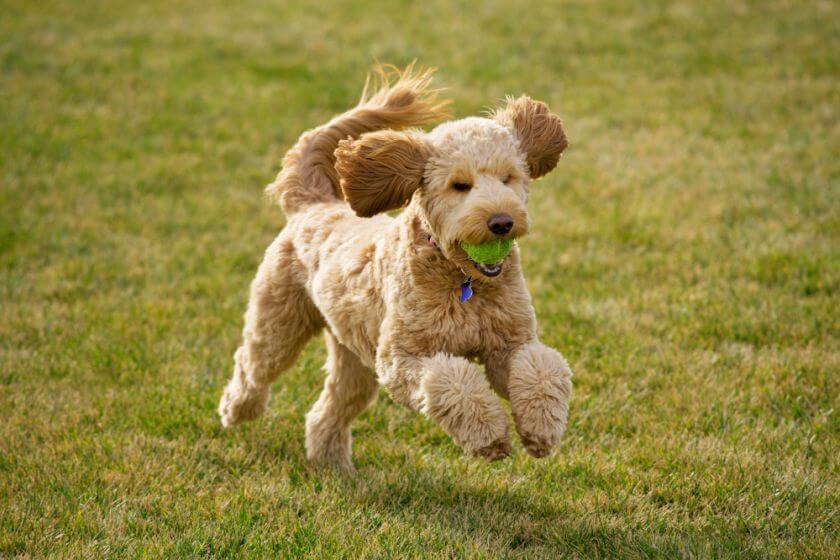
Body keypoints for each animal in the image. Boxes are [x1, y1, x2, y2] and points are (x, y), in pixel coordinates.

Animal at [217, 63, 576, 470]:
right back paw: (236, 411)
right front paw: (490, 437)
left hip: (355, 357)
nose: (501, 222)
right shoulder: (401, 359)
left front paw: (541, 430)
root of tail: (311, 204)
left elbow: (542, 368)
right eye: (460, 185)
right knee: (253, 367)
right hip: (278, 323)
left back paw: (332, 465)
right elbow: (450, 382)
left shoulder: (509, 344)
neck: (462, 281)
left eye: (508, 177)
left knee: (330, 408)